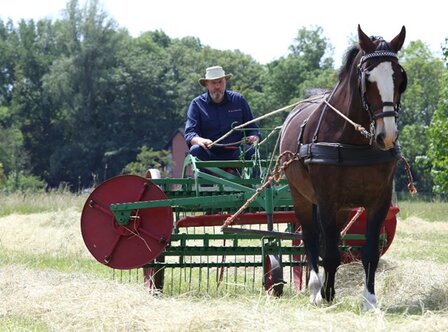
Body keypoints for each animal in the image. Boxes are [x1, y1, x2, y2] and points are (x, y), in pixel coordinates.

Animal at [282, 24, 408, 310]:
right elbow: (328, 252)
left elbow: (369, 252)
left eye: (399, 78)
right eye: (368, 79)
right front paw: (326, 294)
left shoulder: (379, 201)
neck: (354, 139)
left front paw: (369, 300)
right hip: (301, 196)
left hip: (342, 208)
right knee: (311, 239)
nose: (387, 136)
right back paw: (316, 289)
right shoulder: (326, 199)